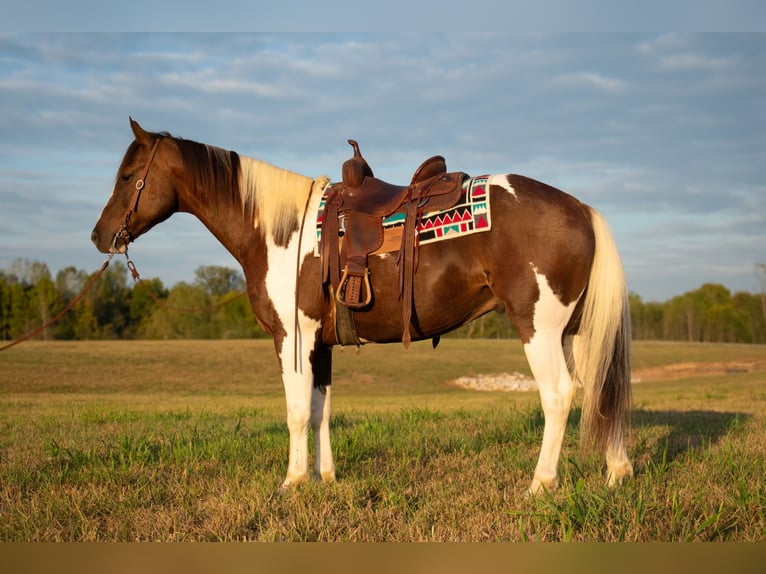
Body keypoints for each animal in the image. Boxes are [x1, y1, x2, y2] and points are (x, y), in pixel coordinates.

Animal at [91, 118, 636, 496]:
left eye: (128, 174)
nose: (100, 236)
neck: (281, 231)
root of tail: (581, 208)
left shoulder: (292, 338)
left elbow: (295, 412)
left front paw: (292, 483)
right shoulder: (321, 344)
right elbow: (320, 411)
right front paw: (326, 478)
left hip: (539, 328)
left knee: (559, 396)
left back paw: (540, 485)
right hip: (576, 332)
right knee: (601, 391)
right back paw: (617, 474)